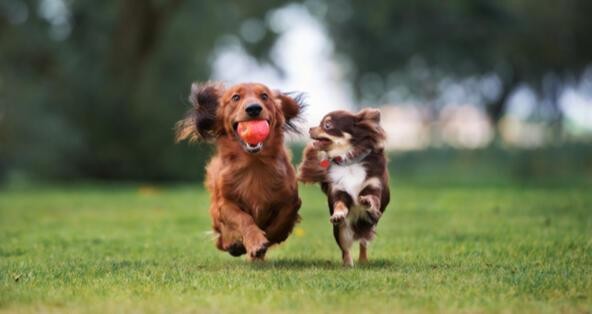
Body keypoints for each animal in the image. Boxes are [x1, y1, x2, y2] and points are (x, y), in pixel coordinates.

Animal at [175, 81, 306, 260]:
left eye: (264, 96)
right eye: (235, 97)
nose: (253, 108)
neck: (254, 164)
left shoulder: (291, 199)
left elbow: (283, 219)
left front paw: (269, 237)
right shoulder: (224, 204)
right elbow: (243, 218)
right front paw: (255, 241)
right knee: (221, 240)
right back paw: (234, 245)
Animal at [298, 109, 390, 266]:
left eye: (327, 125)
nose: (310, 128)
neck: (349, 162)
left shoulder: (374, 186)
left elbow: (373, 198)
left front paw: (367, 201)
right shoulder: (339, 191)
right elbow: (340, 205)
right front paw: (338, 214)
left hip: (368, 225)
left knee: (363, 243)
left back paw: (363, 261)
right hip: (342, 231)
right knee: (346, 249)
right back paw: (347, 264)